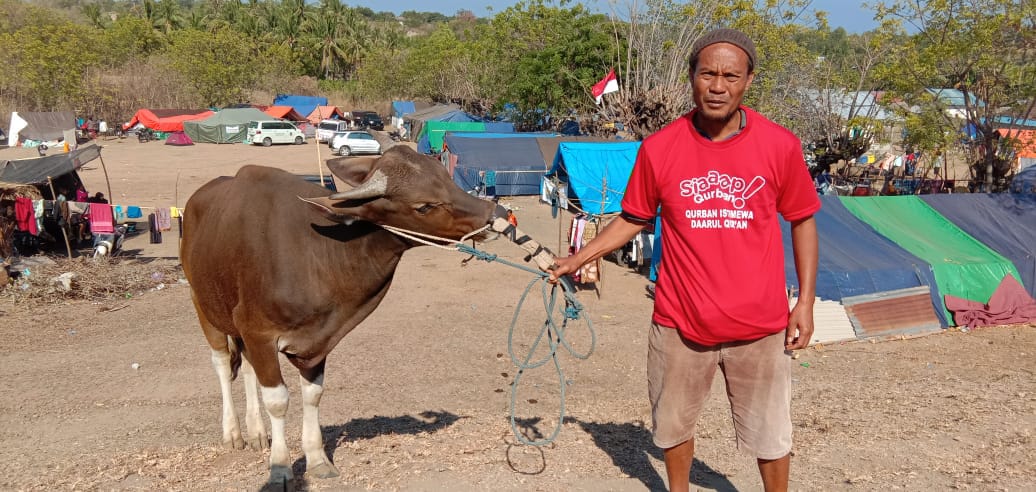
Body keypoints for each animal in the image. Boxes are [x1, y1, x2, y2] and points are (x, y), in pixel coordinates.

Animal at [179, 143, 501, 486]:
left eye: (446, 178)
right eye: (424, 206)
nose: (495, 216)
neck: (316, 252)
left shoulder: (315, 342)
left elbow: (312, 395)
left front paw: (317, 458)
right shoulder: (259, 331)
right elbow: (278, 400)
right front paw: (280, 467)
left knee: (249, 370)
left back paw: (256, 432)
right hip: (203, 306)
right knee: (222, 365)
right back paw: (234, 432)